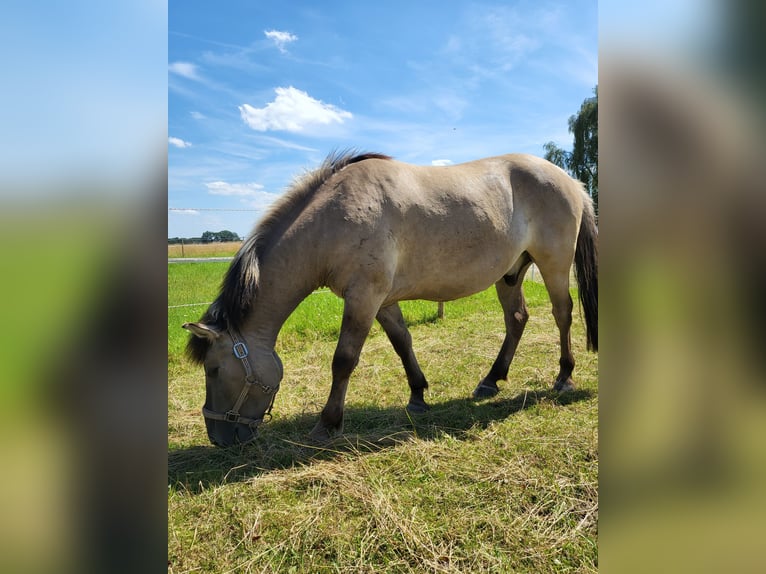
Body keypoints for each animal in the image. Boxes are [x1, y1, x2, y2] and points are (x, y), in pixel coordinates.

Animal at [184, 151, 600, 448]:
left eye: (214, 369)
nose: (218, 438)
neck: (334, 217)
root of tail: (572, 181)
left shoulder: (363, 297)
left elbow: (344, 360)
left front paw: (327, 423)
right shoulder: (381, 301)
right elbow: (402, 342)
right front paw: (418, 395)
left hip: (554, 265)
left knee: (563, 314)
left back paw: (564, 376)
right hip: (510, 273)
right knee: (516, 319)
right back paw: (490, 380)